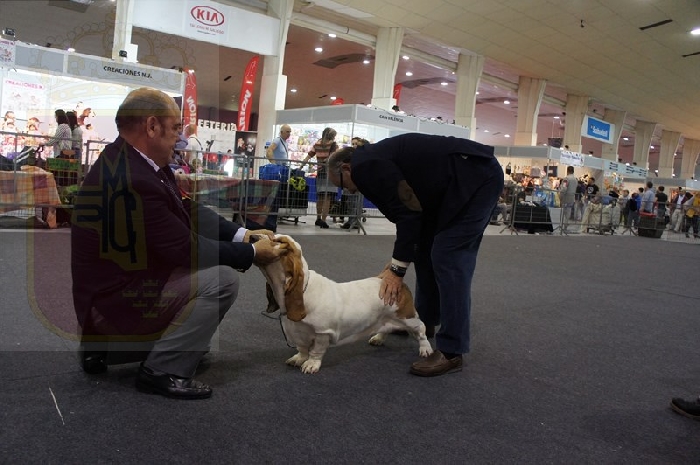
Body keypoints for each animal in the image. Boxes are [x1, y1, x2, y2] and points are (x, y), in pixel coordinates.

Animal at [256, 234, 432, 374]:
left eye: (278, 240)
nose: (254, 237)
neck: (304, 290)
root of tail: (395, 283)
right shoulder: (297, 333)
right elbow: (302, 349)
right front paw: (298, 358)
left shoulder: (323, 333)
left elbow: (316, 352)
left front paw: (311, 365)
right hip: (386, 318)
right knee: (387, 328)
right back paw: (378, 338)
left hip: (408, 318)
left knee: (421, 331)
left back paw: (426, 350)